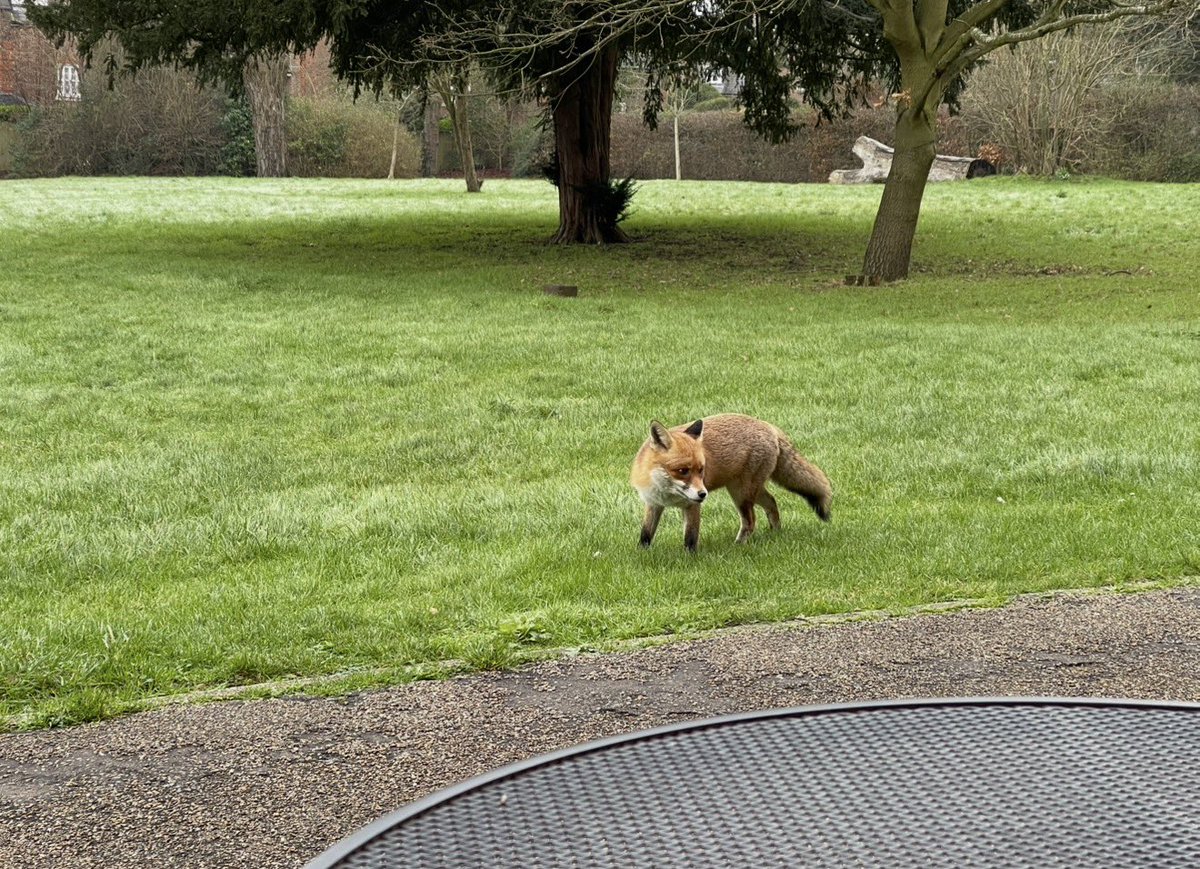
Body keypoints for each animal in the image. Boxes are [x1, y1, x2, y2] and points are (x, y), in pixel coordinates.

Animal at [630, 413, 832, 551]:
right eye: (682, 471)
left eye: (701, 470)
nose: (703, 494)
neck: (666, 491)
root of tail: (769, 426)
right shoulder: (653, 503)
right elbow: (645, 533)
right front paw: (642, 553)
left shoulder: (692, 505)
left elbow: (690, 537)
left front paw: (689, 559)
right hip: (748, 490)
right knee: (772, 502)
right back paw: (776, 533)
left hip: (742, 493)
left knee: (750, 520)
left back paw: (738, 546)